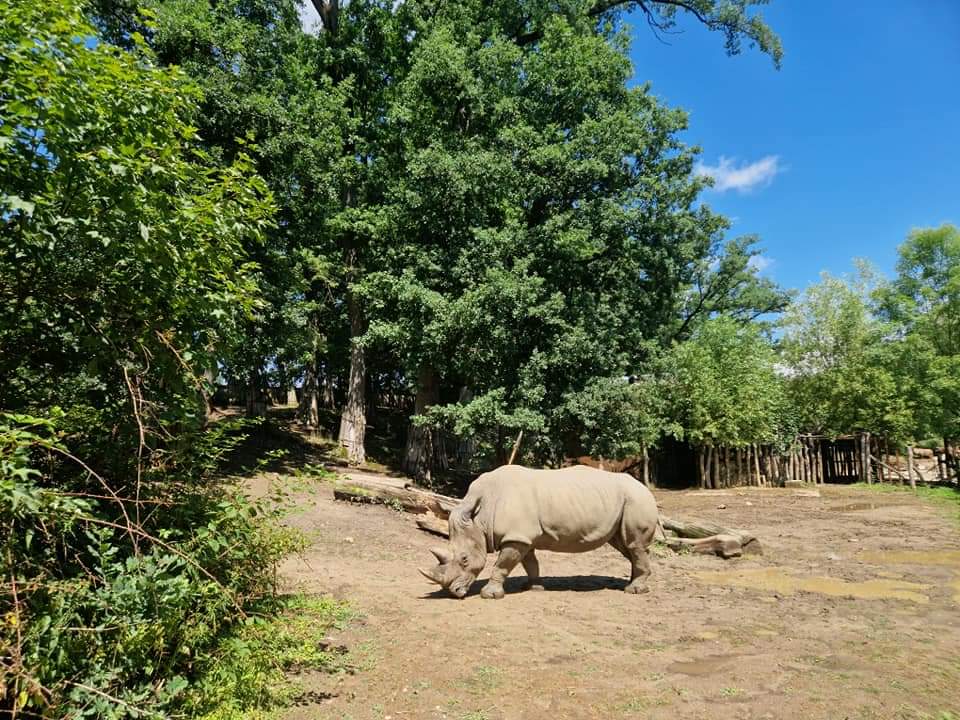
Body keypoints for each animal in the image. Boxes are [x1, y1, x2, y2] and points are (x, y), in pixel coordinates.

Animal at [419, 464, 659, 599]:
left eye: (464, 559)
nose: (454, 593)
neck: (480, 517)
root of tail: (646, 488)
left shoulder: (516, 537)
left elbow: (501, 565)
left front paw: (490, 595)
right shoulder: (523, 537)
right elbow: (530, 563)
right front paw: (533, 587)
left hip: (636, 500)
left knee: (634, 545)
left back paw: (633, 590)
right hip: (624, 503)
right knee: (626, 545)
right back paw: (634, 585)